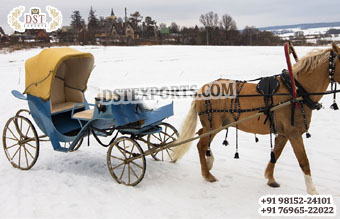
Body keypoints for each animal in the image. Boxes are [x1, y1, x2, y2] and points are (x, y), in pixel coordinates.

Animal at [171, 43, 340, 195]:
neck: (297, 91)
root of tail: (201, 89)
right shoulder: (293, 133)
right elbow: (303, 161)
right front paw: (312, 191)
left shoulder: (284, 133)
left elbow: (276, 154)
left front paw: (270, 178)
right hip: (214, 125)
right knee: (201, 144)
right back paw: (208, 175)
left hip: (215, 124)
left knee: (201, 135)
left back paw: (209, 160)